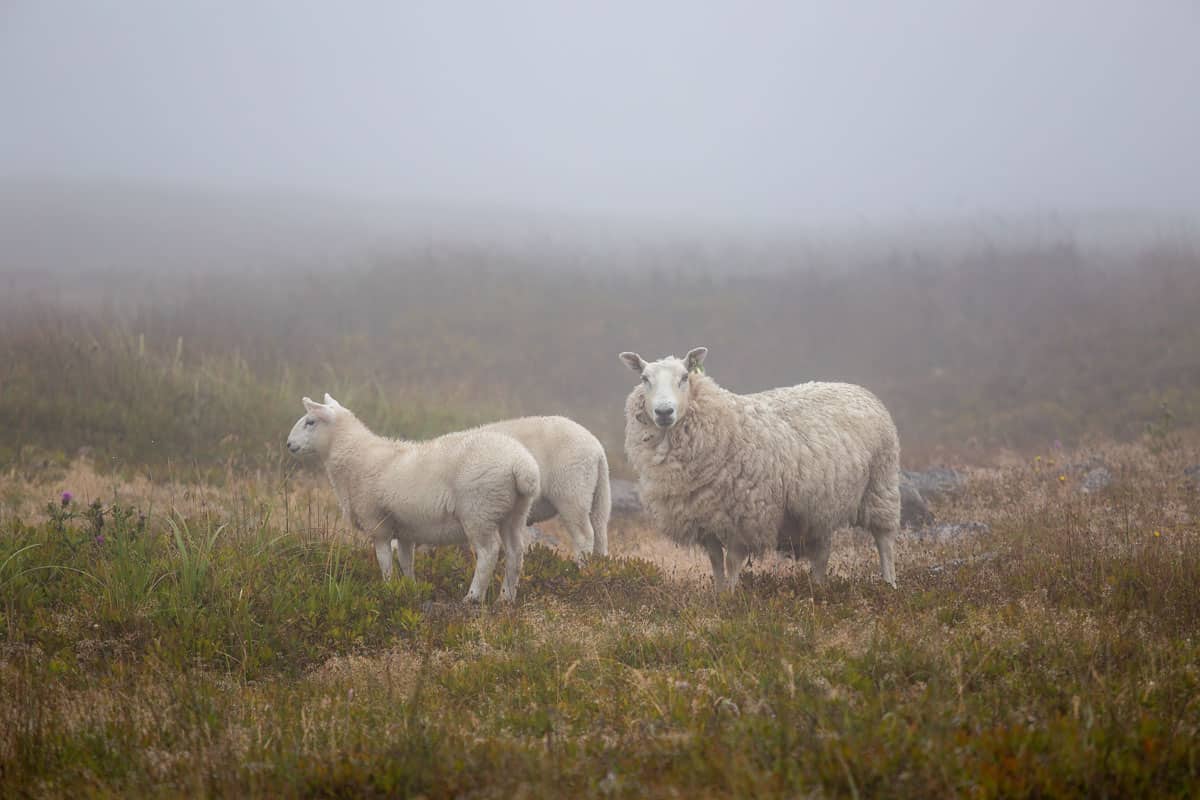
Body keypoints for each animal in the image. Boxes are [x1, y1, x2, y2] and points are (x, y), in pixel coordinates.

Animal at [283, 393, 537, 599]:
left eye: (310, 422)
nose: (289, 444)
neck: (356, 456)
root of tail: (521, 464)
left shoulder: (377, 524)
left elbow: (384, 561)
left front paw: (387, 590)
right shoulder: (405, 530)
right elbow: (406, 562)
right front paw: (409, 589)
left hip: (479, 510)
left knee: (488, 553)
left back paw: (473, 597)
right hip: (514, 512)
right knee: (515, 553)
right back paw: (506, 598)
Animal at [472, 417, 614, 561]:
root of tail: (597, 451)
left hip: (570, 479)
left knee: (581, 528)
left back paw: (579, 562)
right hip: (599, 486)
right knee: (599, 524)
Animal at [624, 347, 897, 592]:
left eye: (684, 377)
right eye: (644, 378)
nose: (664, 412)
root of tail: (857, 389)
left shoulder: (743, 517)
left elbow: (732, 563)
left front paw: (731, 599)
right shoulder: (704, 518)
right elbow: (716, 563)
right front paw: (718, 597)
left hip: (880, 486)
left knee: (884, 540)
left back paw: (889, 585)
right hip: (821, 505)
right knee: (822, 552)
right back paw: (818, 589)